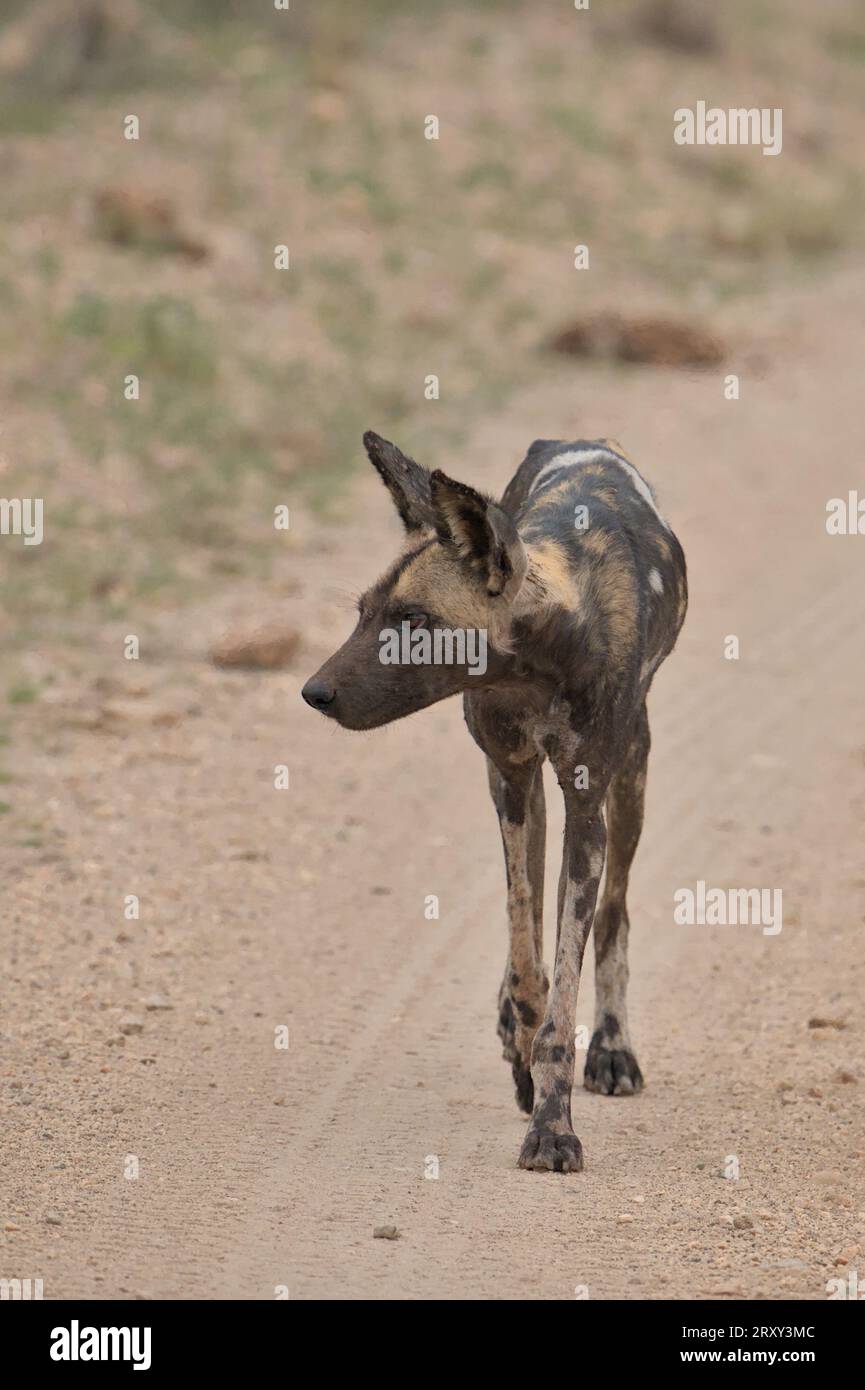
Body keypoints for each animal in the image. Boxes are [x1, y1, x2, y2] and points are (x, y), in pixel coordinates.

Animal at [301, 433, 686, 1173]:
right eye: (363, 613)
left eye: (414, 621)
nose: (314, 693)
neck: (539, 655)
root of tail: (584, 441)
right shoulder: (509, 777)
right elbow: (528, 948)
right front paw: (525, 1056)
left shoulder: (588, 807)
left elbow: (567, 979)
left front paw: (553, 1126)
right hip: (523, 790)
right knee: (528, 919)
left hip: (630, 781)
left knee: (615, 916)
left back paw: (612, 1048)